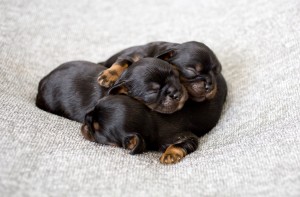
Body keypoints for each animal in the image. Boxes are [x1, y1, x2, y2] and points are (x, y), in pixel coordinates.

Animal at [82, 72, 227, 165]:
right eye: (95, 106)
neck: (149, 118)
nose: (85, 120)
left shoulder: (187, 136)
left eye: (96, 130)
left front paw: (170, 155)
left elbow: (182, 143)